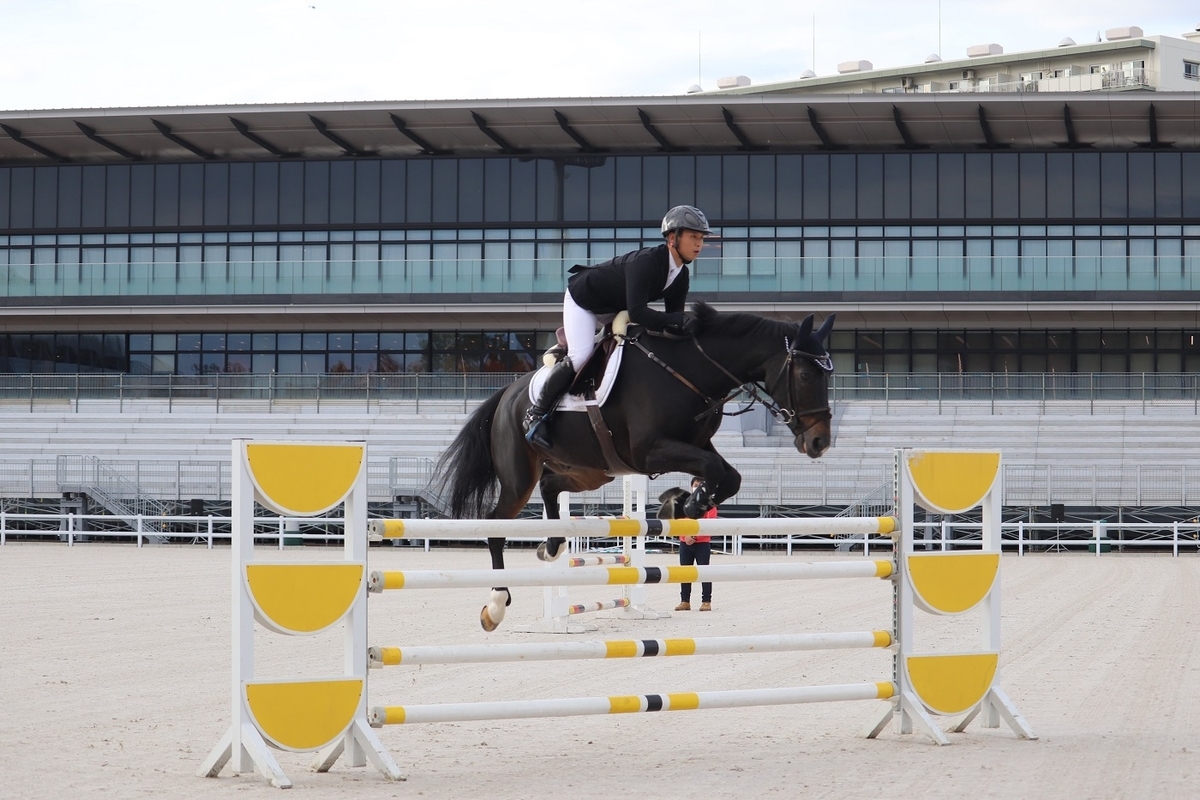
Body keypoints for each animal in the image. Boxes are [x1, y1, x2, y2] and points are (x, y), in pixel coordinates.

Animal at [432, 302, 835, 633]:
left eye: (827, 375)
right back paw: (496, 606)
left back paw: (552, 546)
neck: (690, 369)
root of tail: (506, 394)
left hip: (592, 471)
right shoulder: (649, 451)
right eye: (805, 376)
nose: (819, 442)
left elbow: (729, 476)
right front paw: (686, 505)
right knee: (496, 526)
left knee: (550, 487)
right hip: (520, 476)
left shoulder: (696, 443)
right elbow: (714, 470)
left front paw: (688, 504)